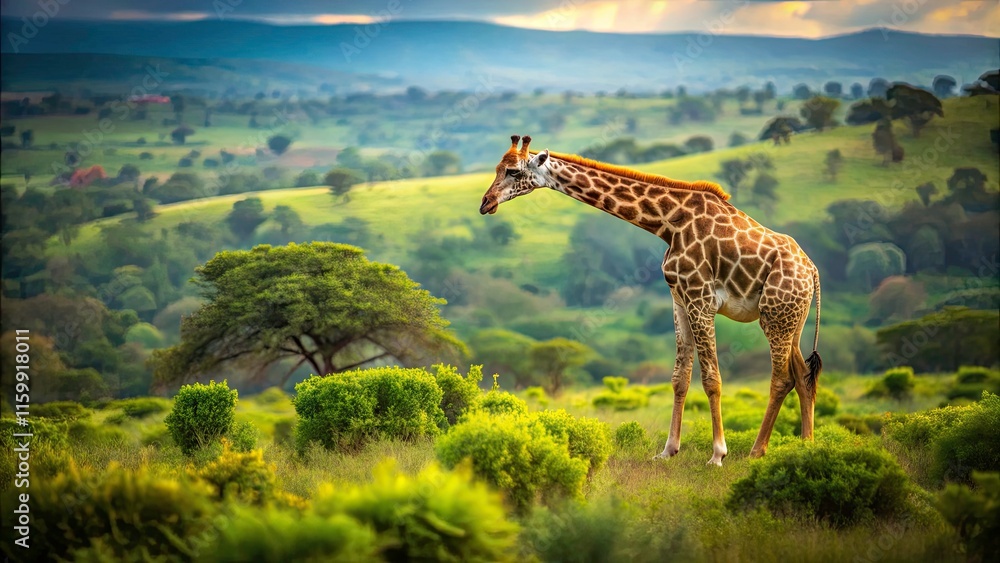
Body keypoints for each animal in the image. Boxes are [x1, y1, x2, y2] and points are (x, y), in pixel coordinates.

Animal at [480, 135, 822, 466]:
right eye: (498, 168)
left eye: (514, 171)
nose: (485, 203)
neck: (668, 223)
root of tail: (813, 272)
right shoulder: (680, 299)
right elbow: (679, 378)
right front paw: (668, 450)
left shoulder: (700, 297)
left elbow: (712, 379)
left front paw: (717, 454)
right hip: (791, 318)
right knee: (802, 376)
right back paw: (806, 447)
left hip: (775, 316)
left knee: (781, 378)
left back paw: (757, 451)